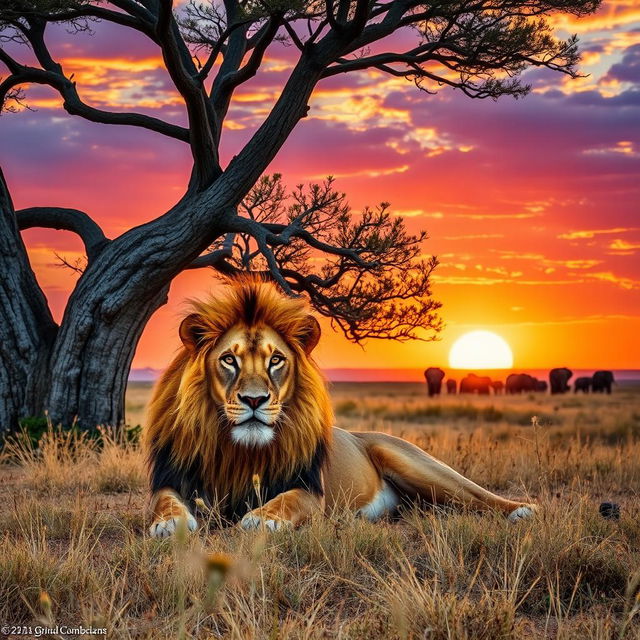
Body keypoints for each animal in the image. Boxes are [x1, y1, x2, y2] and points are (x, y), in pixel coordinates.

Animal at [144, 278, 536, 536]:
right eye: (228, 359)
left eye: (275, 360)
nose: (254, 400)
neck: (238, 451)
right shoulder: (170, 478)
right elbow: (164, 502)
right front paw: (169, 523)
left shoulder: (308, 490)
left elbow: (285, 501)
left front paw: (261, 518)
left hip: (421, 466)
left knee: (478, 497)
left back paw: (523, 510)